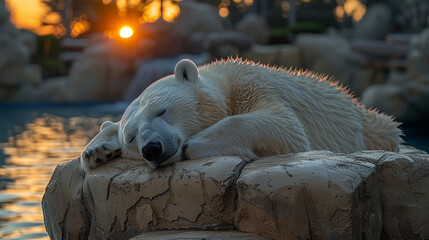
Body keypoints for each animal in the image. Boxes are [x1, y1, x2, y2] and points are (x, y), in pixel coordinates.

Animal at [79, 58, 402, 170]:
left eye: (162, 110)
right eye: (132, 138)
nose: (152, 148)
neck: (226, 81)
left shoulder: (255, 86)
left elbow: (285, 126)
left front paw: (193, 144)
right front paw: (97, 151)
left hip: (373, 127)